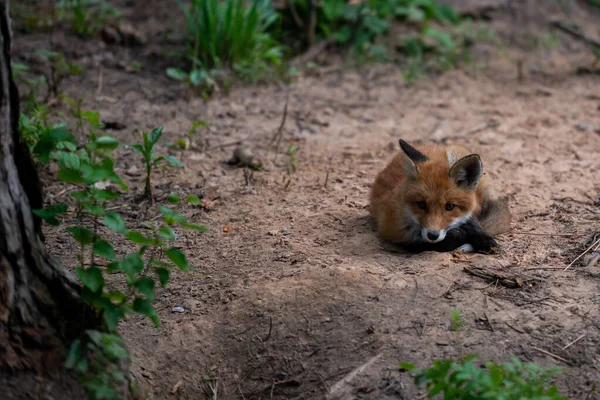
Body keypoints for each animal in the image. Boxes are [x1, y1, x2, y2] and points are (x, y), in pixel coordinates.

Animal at [370, 140, 510, 253]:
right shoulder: (392, 232)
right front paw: (460, 236)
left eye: (450, 206)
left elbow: (472, 222)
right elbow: (426, 245)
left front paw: (484, 240)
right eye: (421, 204)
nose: (433, 235)